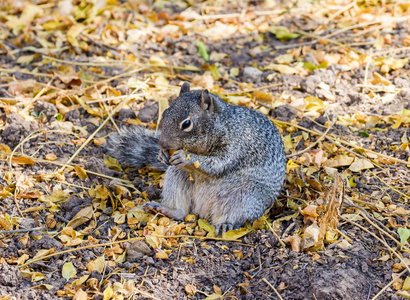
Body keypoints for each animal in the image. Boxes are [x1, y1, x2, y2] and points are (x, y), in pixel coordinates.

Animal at [106, 82, 286, 234]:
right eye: (164, 113)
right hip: (176, 176)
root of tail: (203, 210)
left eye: (186, 124)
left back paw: (225, 223)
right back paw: (169, 209)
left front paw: (186, 157)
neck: (222, 124)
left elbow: (219, 162)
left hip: (246, 196)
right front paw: (161, 154)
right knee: (182, 210)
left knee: (235, 214)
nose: (162, 143)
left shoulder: (237, 145)